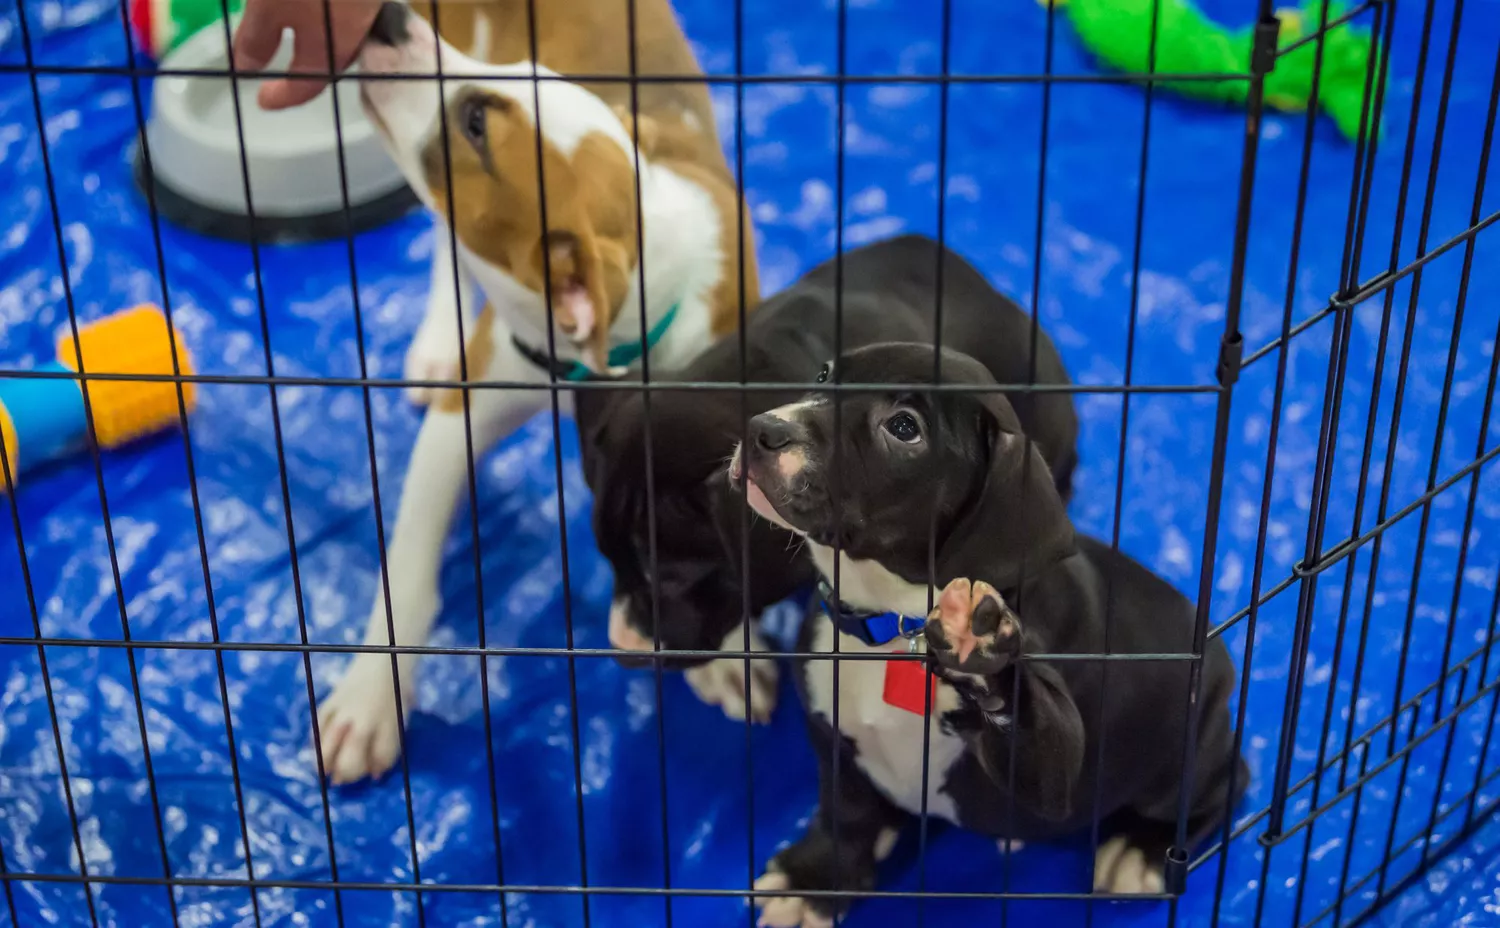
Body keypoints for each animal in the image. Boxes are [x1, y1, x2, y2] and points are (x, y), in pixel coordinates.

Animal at [318, 0, 762, 785]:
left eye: (474, 126)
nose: (387, 21)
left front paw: (731, 653)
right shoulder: (463, 413)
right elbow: (408, 562)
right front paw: (371, 695)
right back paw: (439, 336)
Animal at [735, 344, 1242, 923]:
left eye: (904, 427)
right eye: (824, 375)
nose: (763, 429)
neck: (893, 624)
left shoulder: (1053, 771)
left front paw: (979, 646)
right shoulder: (833, 736)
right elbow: (847, 810)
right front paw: (816, 879)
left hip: (1186, 748)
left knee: (1224, 784)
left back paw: (1142, 850)